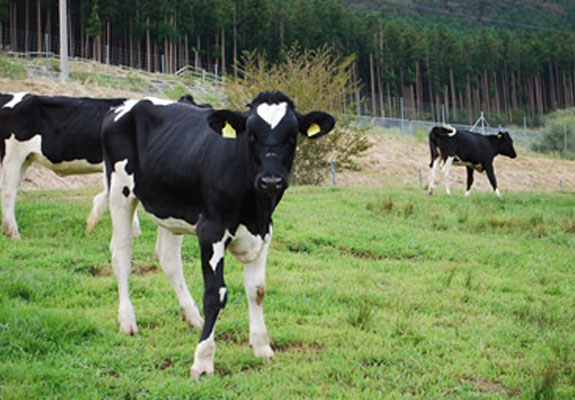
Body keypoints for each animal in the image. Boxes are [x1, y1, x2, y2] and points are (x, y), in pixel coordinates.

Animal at [102, 90, 338, 378]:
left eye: (292, 135)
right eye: (251, 135)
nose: (271, 180)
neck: (255, 209)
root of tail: (127, 104)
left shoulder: (265, 232)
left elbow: (257, 290)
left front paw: (262, 346)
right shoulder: (211, 230)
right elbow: (215, 294)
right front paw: (203, 360)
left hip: (169, 206)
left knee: (169, 259)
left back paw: (193, 317)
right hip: (120, 191)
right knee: (121, 252)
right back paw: (127, 321)